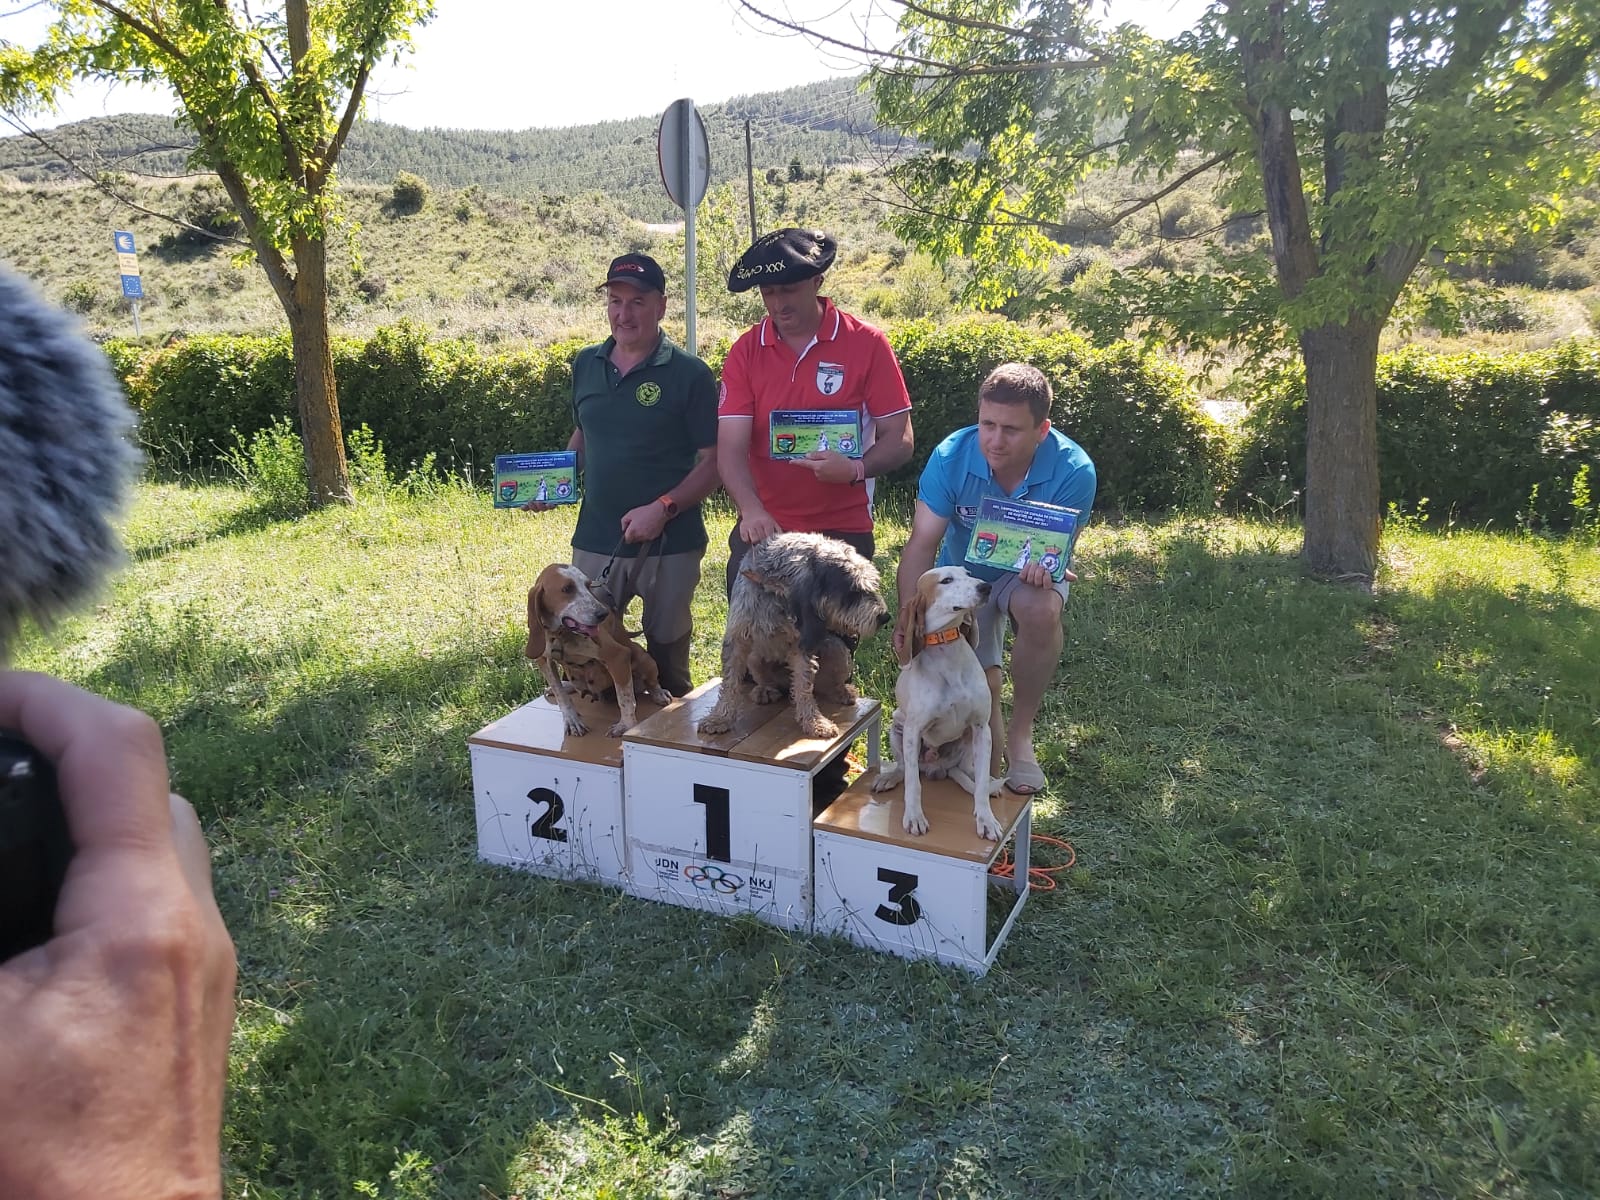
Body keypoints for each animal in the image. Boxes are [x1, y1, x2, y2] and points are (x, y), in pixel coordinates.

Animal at [697, 534, 889, 742]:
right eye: (853, 590)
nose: (885, 617)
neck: (774, 594)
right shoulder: (737, 641)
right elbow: (729, 683)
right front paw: (719, 718)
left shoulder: (802, 646)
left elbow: (804, 688)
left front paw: (814, 722)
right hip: (754, 658)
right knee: (766, 679)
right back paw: (764, 689)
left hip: (838, 649)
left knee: (829, 683)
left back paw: (843, 691)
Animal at [876, 566, 998, 838]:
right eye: (946, 580)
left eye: (968, 573)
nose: (986, 587)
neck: (947, 651)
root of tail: (938, 768)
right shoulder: (913, 731)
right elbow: (913, 784)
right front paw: (914, 817)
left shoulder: (981, 727)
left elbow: (981, 788)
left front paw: (986, 819)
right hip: (896, 728)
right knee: (904, 769)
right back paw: (890, 777)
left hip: (971, 741)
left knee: (972, 773)